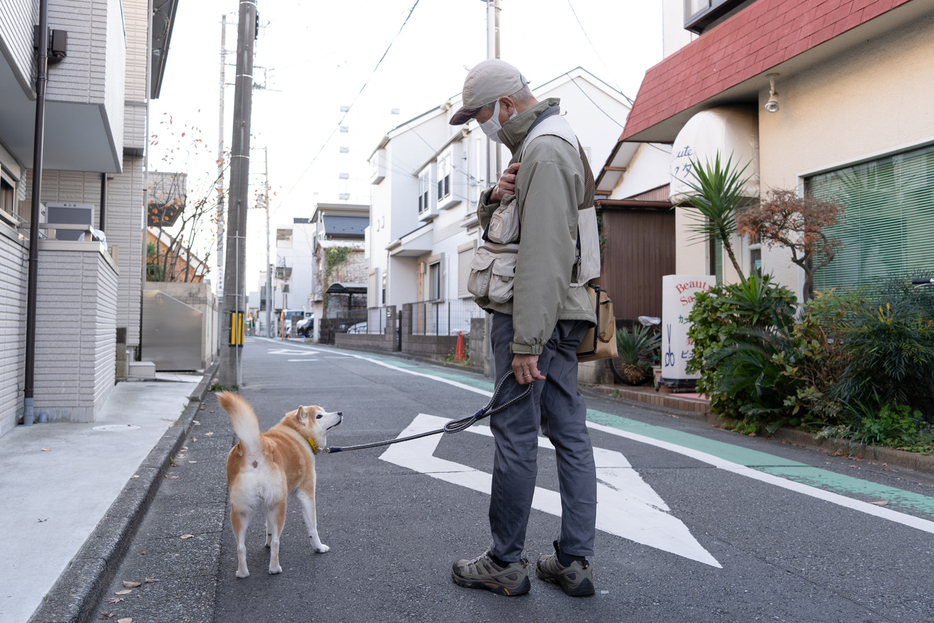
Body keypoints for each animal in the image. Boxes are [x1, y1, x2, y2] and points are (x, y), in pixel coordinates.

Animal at [218, 392, 342, 576]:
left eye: (325, 411)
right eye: (319, 416)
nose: (340, 412)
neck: (298, 434)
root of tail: (255, 447)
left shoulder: (267, 504)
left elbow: (268, 527)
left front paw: (267, 542)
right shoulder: (306, 493)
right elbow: (312, 527)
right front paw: (318, 547)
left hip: (242, 511)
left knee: (240, 546)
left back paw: (242, 573)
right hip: (280, 506)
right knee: (277, 541)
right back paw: (275, 568)